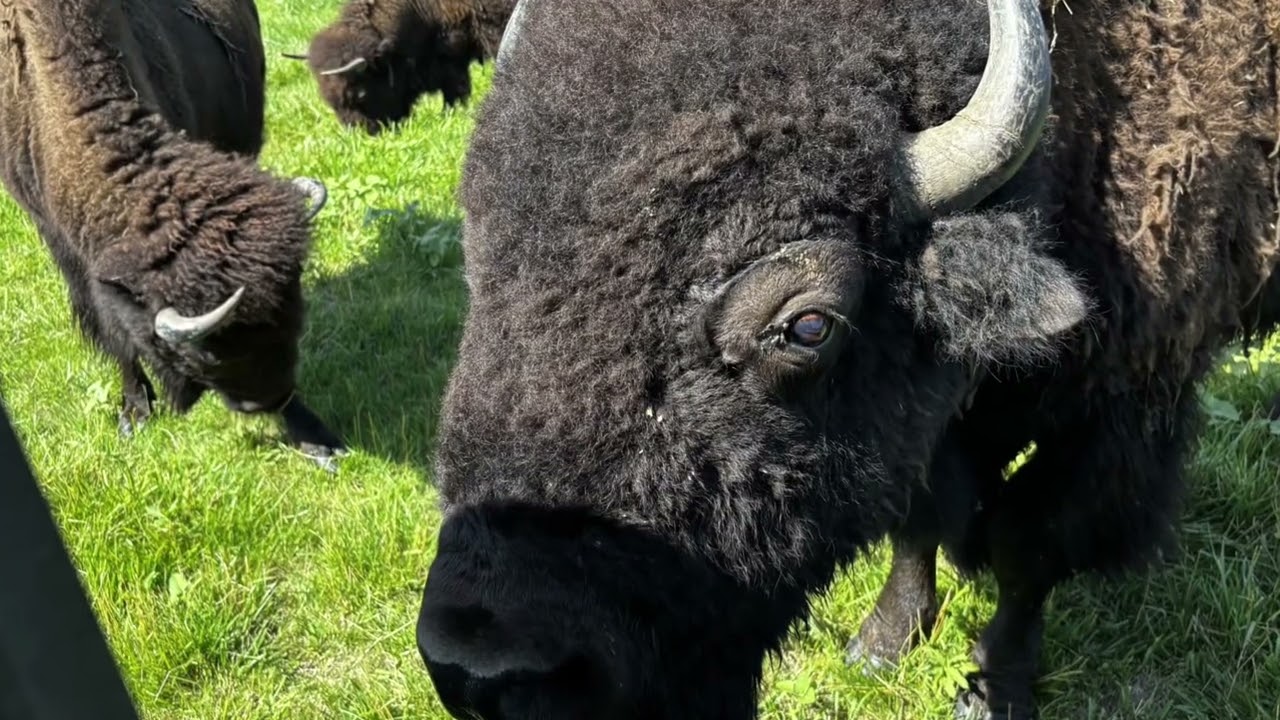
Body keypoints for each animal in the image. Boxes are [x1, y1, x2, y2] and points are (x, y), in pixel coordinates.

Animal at [0, 0, 345, 465]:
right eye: (204, 352)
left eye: (295, 313)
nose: (265, 402)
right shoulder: (64, 247)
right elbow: (114, 334)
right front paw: (134, 414)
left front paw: (316, 438)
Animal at [285, 0, 519, 134]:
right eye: (327, 99)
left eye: (360, 93)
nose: (362, 134)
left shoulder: (451, 60)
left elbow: (455, 91)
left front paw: (449, 115)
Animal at [414, 0, 1280, 716]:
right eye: (480, 259)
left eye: (806, 327)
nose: (479, 669)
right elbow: (919, 517)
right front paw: (882, 646)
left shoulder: (1118, 411)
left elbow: (1027, 545)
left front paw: (992, 688)